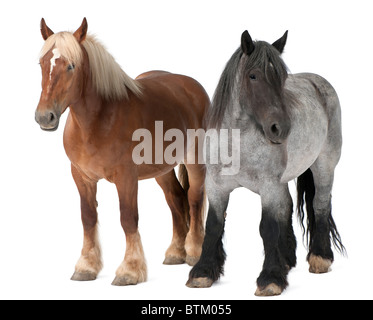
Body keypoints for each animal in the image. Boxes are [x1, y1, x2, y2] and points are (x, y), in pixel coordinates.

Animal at [35, 18, 209, 286]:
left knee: (194, 198)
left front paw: (130, 270)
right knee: (176, 199)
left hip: (195, 160)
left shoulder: (126, 177)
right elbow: (88, 217)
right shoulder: (82, 177)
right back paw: (175, 252)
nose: (45, 117)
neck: (98, 121)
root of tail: (191, 87)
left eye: (71, 66)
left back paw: (195, 252)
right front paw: (86, 266)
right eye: (41, 64)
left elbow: (128, 218)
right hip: (162, 170)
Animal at [187, 31, 344, 296]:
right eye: (253, 76)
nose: (280, 128)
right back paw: (287, 260)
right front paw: (203, 272)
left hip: (324, 165)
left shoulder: (268, 187)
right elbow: (214, 224)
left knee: (320, 204)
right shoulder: (216, 187)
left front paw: (270, 278)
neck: (237, 143)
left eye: (281, 78)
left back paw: (320, 257)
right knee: (288, 206)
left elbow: (267, 227)